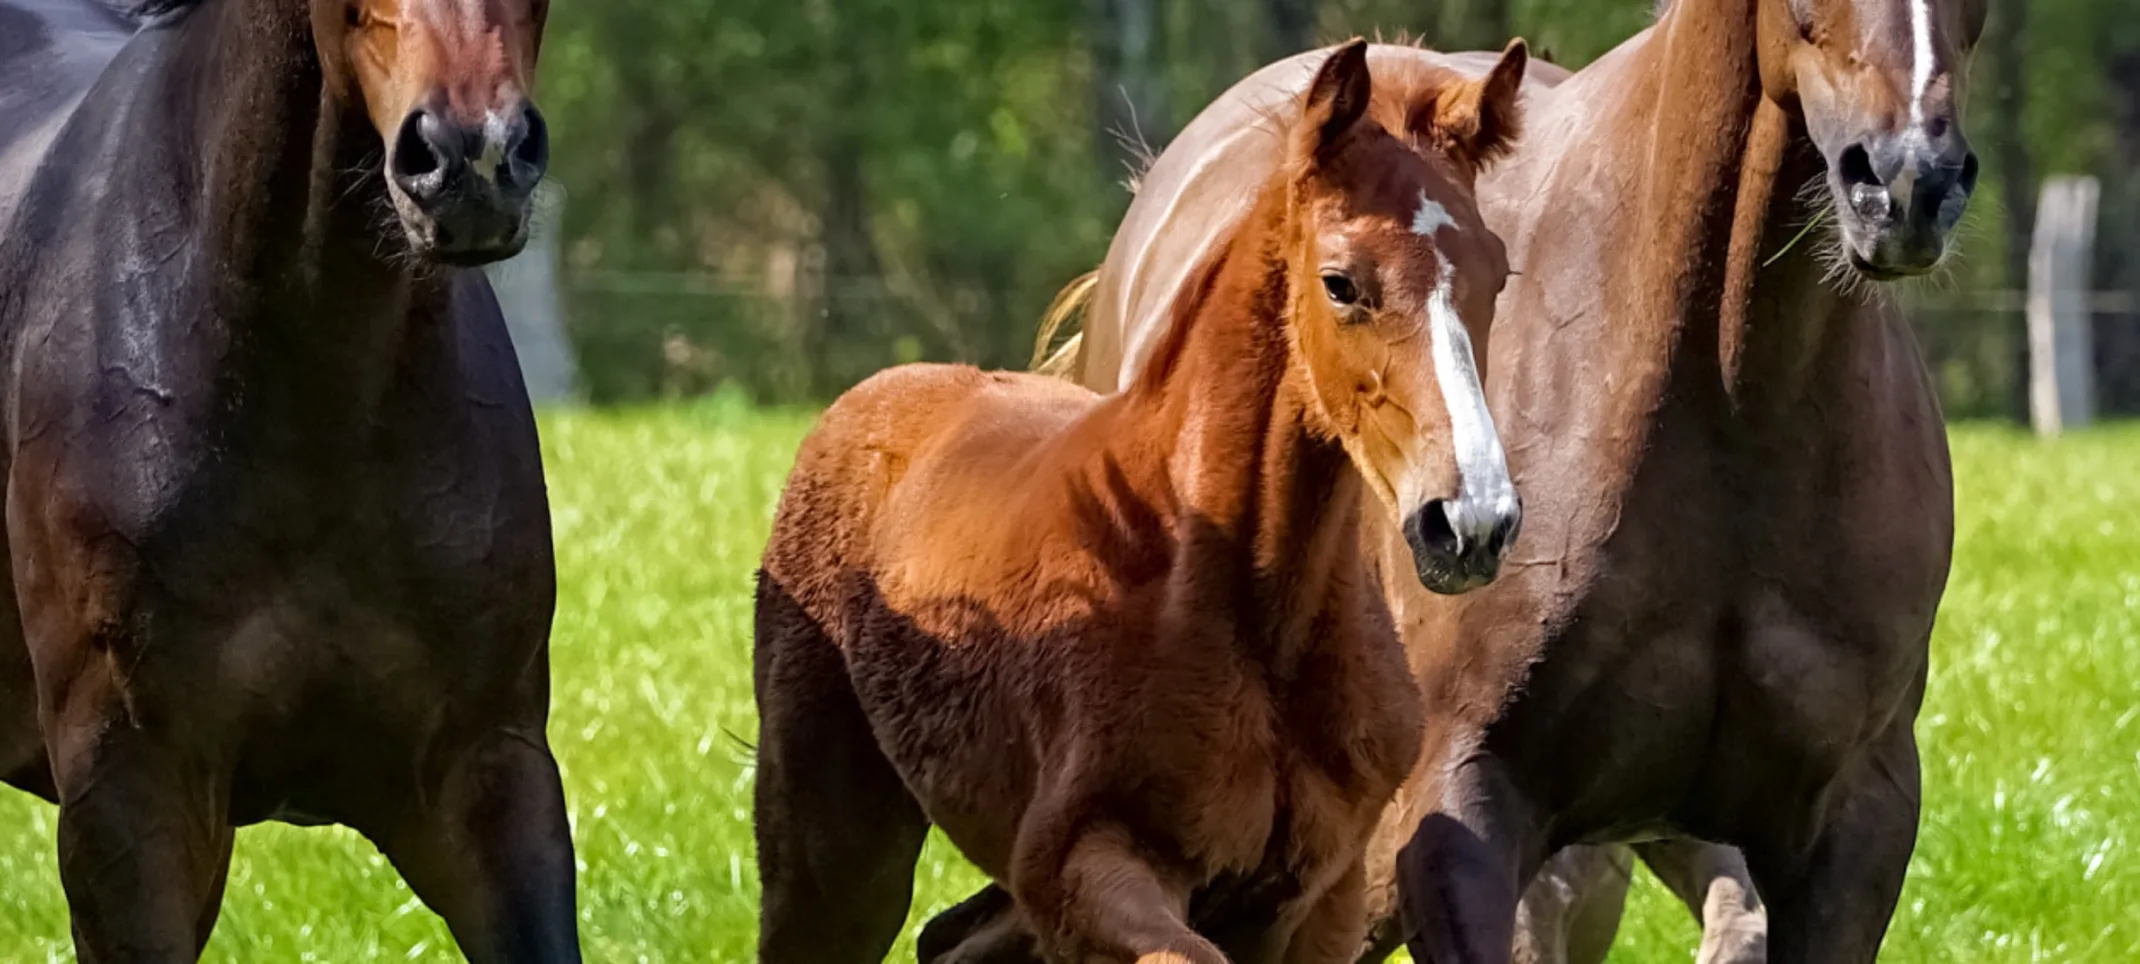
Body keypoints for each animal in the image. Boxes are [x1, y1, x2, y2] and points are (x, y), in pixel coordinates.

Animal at [753, 41, 1523, 964]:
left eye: (1498, 274)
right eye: (1341, 283)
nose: (1471, 521)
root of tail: (866, 401)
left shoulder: (1316, 896)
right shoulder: (1078, 862)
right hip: (833, 854)